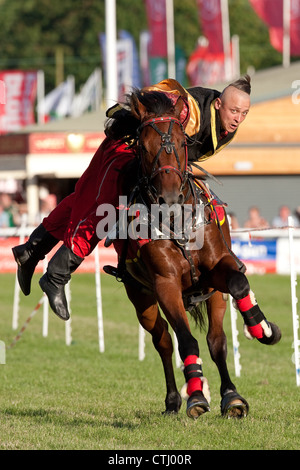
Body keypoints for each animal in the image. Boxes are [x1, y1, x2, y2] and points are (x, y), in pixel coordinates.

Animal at [103, 89, 282, 418]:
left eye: (182, 143)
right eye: (143, 146)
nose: (170, 197)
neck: (178, 222)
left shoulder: (217, 270)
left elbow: (237, 290)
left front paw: (261, 328)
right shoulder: (166, 284)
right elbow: (185, 341)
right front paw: (196, 395)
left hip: (211, 294)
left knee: (215, 341)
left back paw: (229, 392)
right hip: (140, 297)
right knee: (163, 340)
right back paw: (175, 399)